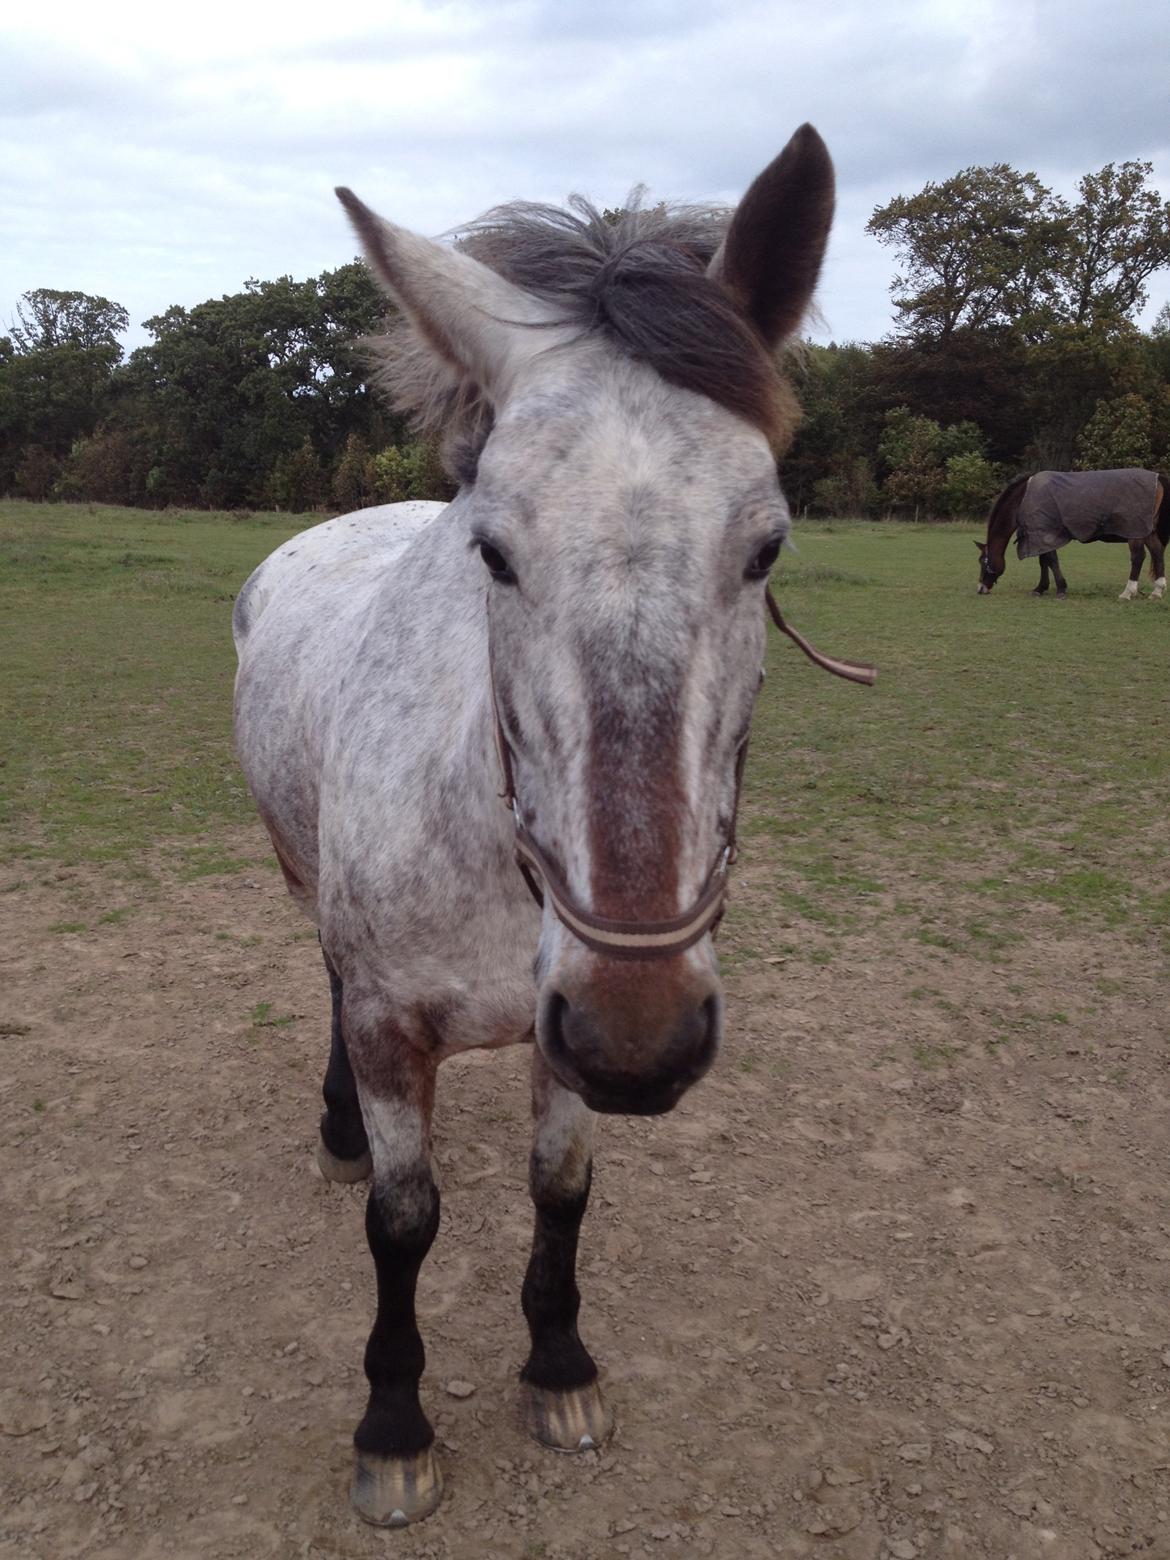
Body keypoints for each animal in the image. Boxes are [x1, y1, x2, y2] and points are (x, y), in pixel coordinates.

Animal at [230, 124, 873, 1522]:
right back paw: (337, 1135)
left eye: (767, 548)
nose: (641, 1042)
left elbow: (561, 1189)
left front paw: (560, 1365)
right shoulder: (394, 1022)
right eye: (494, 551)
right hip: (302, 881)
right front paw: (395, 1426)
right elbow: (404, 1223)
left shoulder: (560, 1030)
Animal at [979, 464, 1170, 599]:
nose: (981, 588)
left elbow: (1051, 560)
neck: (1025, 496)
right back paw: (1157, 591)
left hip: (1135, 530)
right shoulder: (1040, 536)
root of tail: (1157, 477)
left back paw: (1127, 592)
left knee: (1138, 557)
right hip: (1148, 530)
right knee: (1157, 551)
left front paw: (1060, 589)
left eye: (983, 562)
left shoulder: (1045, 534)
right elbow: (1044, 561)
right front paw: (1041, 588)